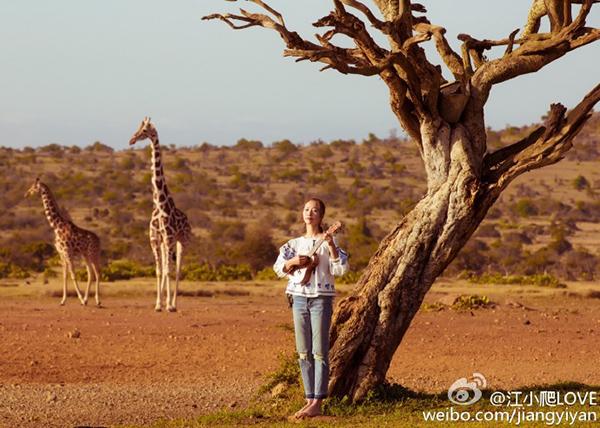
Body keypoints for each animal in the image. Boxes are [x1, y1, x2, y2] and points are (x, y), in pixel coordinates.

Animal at [129, 117, 192, 310]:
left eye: (144, 130)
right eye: (138, 128)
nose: (131, 140)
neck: (161, 205)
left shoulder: (170, 238)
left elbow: (169, 271)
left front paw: (169, 306)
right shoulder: (155, 239)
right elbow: (159, 271)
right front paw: (158, 304)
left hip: (183, 241)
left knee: (177, 269)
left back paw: (174, 304)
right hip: (166, 243)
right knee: (166, 268)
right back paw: (165, 302)